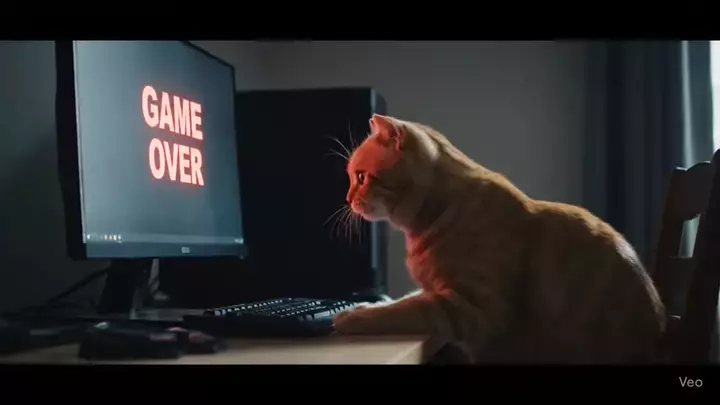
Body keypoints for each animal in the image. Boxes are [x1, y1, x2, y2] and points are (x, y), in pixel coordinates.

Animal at [332, 114, 667, 364]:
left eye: (360, 177)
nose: (347, 198)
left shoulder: (471, 309)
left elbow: (404, 310)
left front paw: (354, 317)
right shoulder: (437, 292)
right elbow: (404, 299)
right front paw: (367, 305)